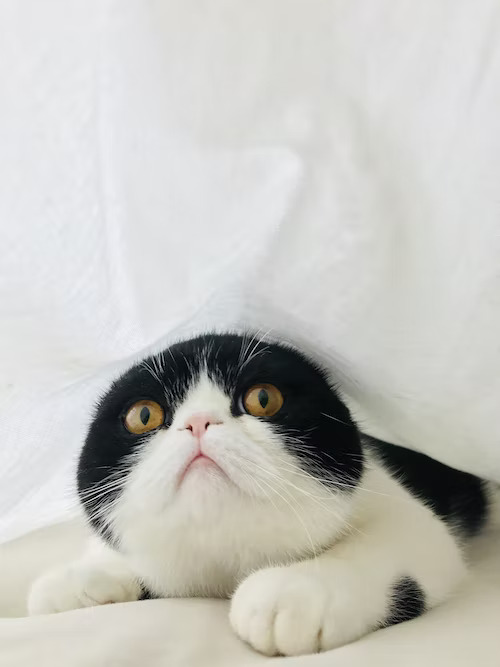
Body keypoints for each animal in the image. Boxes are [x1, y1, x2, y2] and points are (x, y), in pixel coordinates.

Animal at [28, 334, 492, 656]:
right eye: (143, 415)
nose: (199, 421)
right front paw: (80, 578)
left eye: (263, 398)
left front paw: (296, 590)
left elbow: (399, 535)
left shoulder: (403, 510)